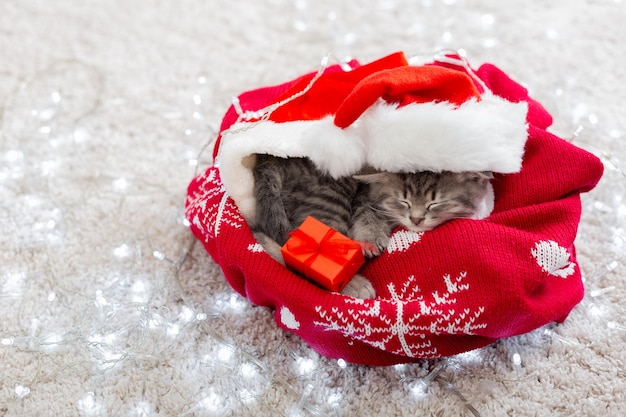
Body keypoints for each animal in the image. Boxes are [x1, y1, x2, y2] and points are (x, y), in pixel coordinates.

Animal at [250, 154, 492, 298]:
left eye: (435, 204)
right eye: (403, 201)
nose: (416, 220)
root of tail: (270, 160)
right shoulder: (364, 195)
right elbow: (367, 214)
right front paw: (370, 238)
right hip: (330, 197)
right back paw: (354, 285)